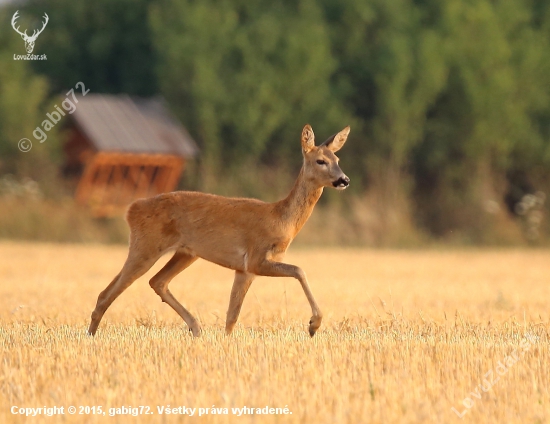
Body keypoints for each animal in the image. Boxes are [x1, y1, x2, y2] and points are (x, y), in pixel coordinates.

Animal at [88, 124, 352, 336]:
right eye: (320, 161)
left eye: (338, 160)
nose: (344, 180)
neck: (280, 219)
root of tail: (131, 210)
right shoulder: (255, 259)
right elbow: (299, 270)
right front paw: (314, 325)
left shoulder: (244, 270)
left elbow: (231, 317)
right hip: (146, 246)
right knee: (106, 293)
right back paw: (91, 336)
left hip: (185, 253)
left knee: (157, 281)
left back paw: (195, 327)